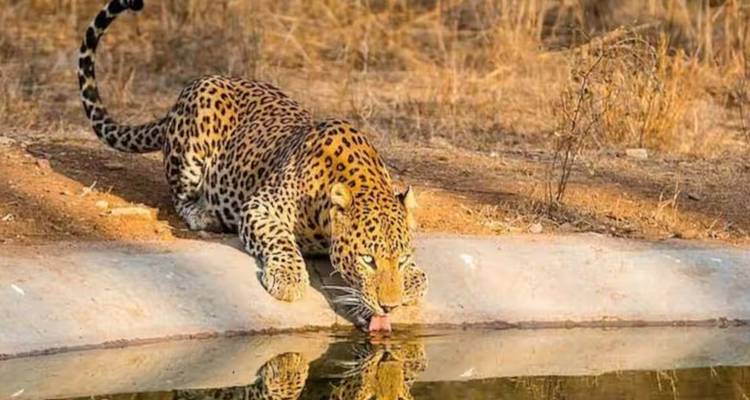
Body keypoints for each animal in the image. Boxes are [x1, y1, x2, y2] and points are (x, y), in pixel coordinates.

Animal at [77, 0, 427, 327]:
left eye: (401, 259)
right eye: (367, 259)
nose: (389, 307)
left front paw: (415, 279)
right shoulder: (261, 207)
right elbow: (281, 240)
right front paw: (288, 278)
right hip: (197, 124)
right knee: (180, 196)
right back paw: (203, 215)